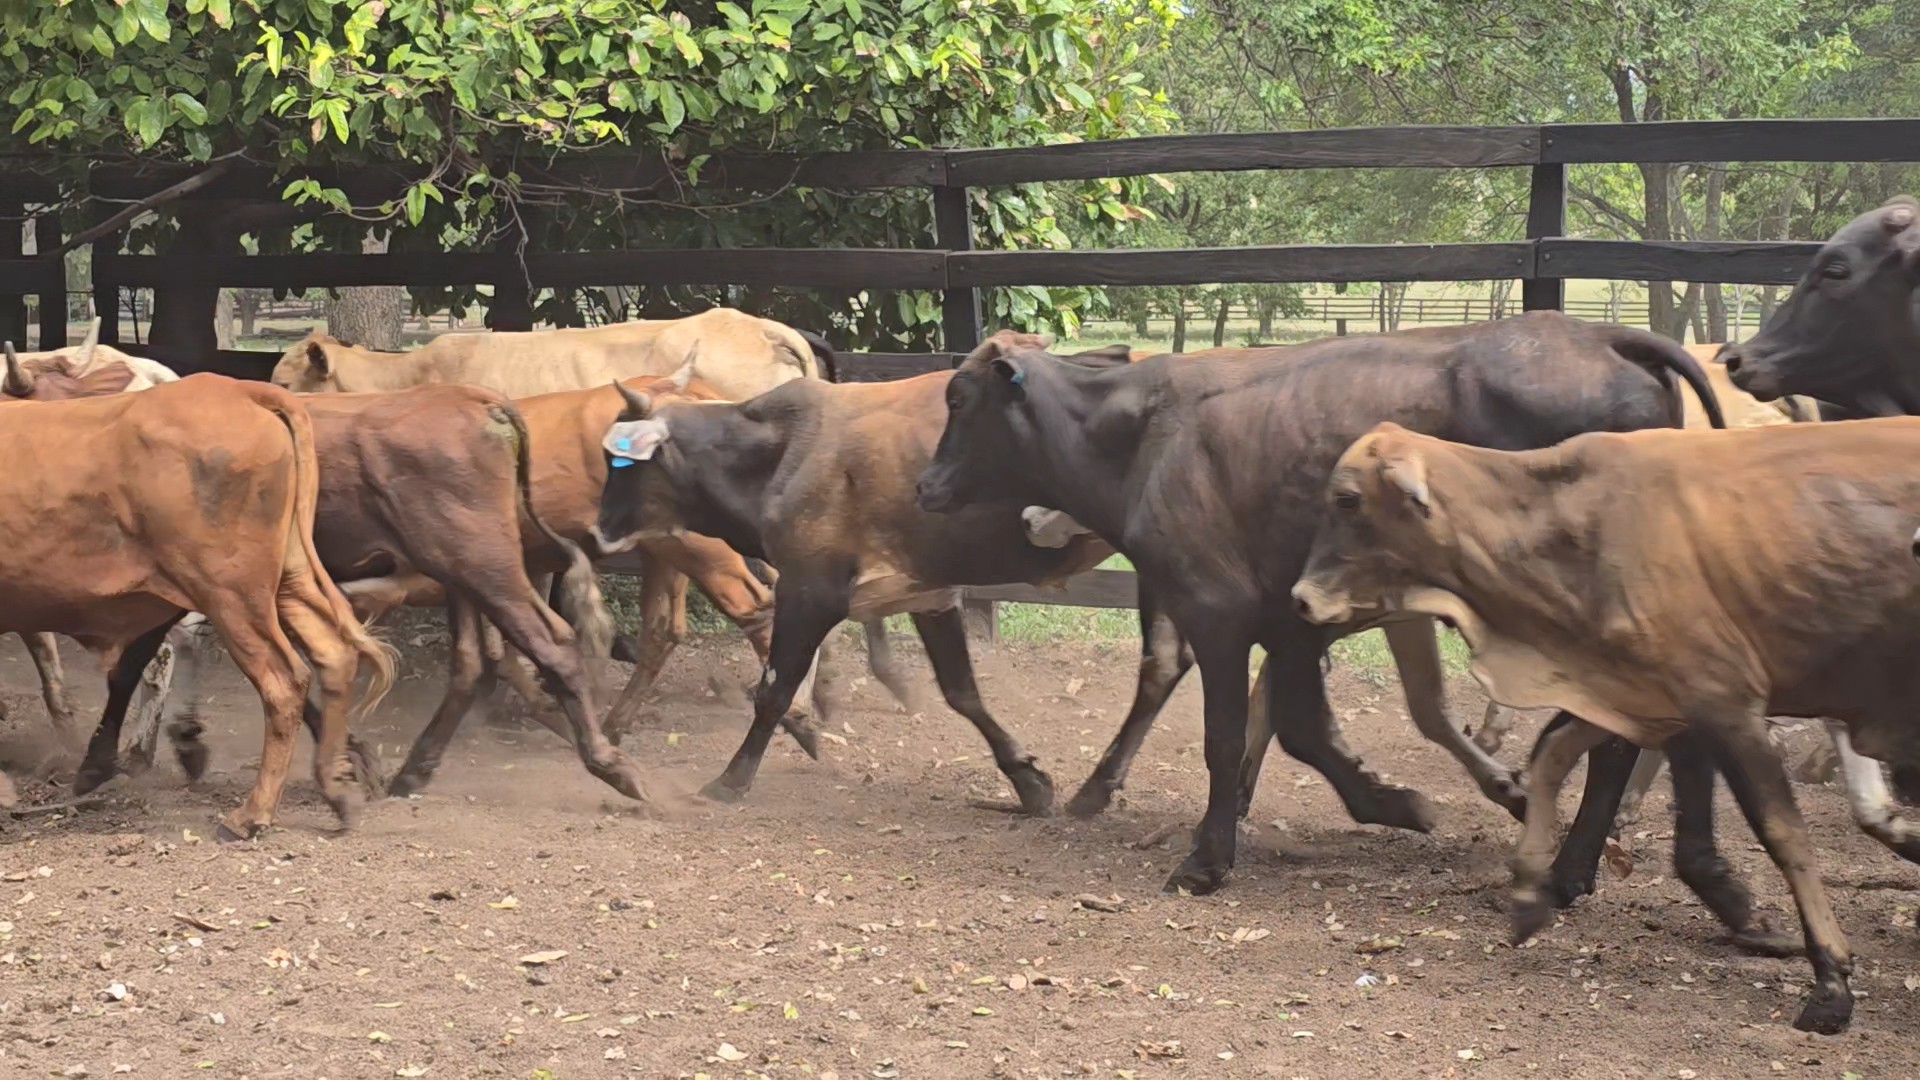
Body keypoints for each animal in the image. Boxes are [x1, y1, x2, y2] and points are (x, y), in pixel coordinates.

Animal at [0, 375, 393, 837]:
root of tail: (239, 389)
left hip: (230, 594)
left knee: (283, 681)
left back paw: (252, 813)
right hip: (285, 581)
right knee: (332, 654)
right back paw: (337, 788)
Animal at [913, 312, 1723, 898]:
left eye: (957, 399)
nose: (924, 486)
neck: (1140, 437)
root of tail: (1604, 334)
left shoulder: (1216, 610)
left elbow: (1224, 736)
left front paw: (1205, 861)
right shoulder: (1290, 620)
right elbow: (1304, 729)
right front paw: (1394, 802)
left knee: (1614, 733)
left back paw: (1569, 868)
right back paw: (1574, 862)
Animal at [1289, 418, 1920, 1034]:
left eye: (1346, 499)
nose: (1300, 599)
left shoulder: (1725, 702)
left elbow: (1785, 835)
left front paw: (1831, 984)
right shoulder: (1638, 695)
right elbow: (1549, 754)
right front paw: (1528, 893)